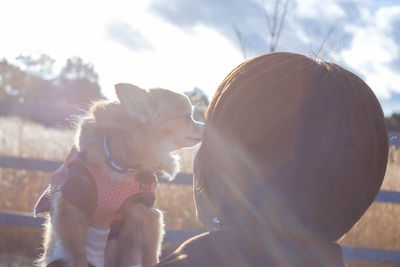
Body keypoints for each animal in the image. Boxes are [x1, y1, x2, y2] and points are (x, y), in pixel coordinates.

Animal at [33, 82, 203, 266]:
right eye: (188, 117)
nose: (205, 125)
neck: (120, 165)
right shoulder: (70, 208)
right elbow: (79, 257)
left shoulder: (146, 212)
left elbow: (150, 254)